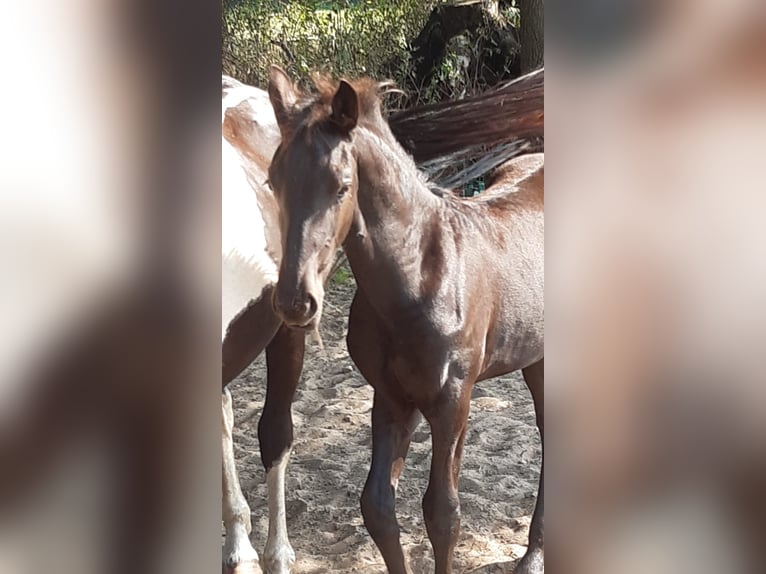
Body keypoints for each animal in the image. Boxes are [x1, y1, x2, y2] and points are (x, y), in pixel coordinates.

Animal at [270, 68, 544, 574]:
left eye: (341, 185)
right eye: (272, 180)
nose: (295, 302)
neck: (418, 277)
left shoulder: (451, 399)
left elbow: (442, 513)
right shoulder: (392, 397)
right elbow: (377, 506)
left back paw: (533, 554)